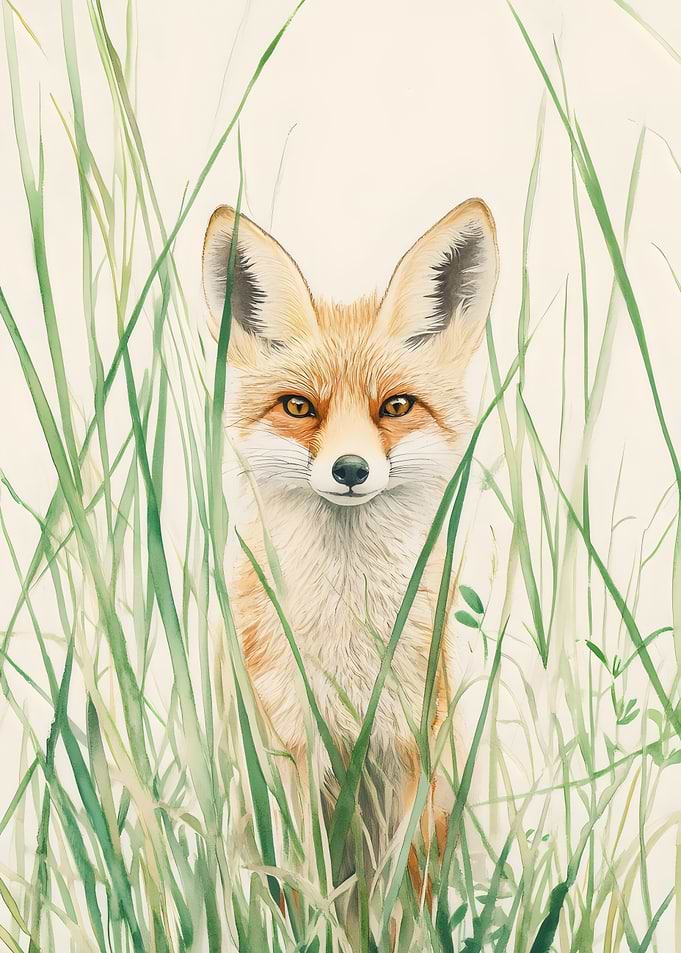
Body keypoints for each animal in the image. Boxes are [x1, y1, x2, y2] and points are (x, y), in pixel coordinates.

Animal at [202, 197, 499, 942]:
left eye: (394, 406)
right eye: (299, 407)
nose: (350, 470)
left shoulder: (409, 757)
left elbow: (400, 909)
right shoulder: (290, 756)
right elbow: (305, 894)